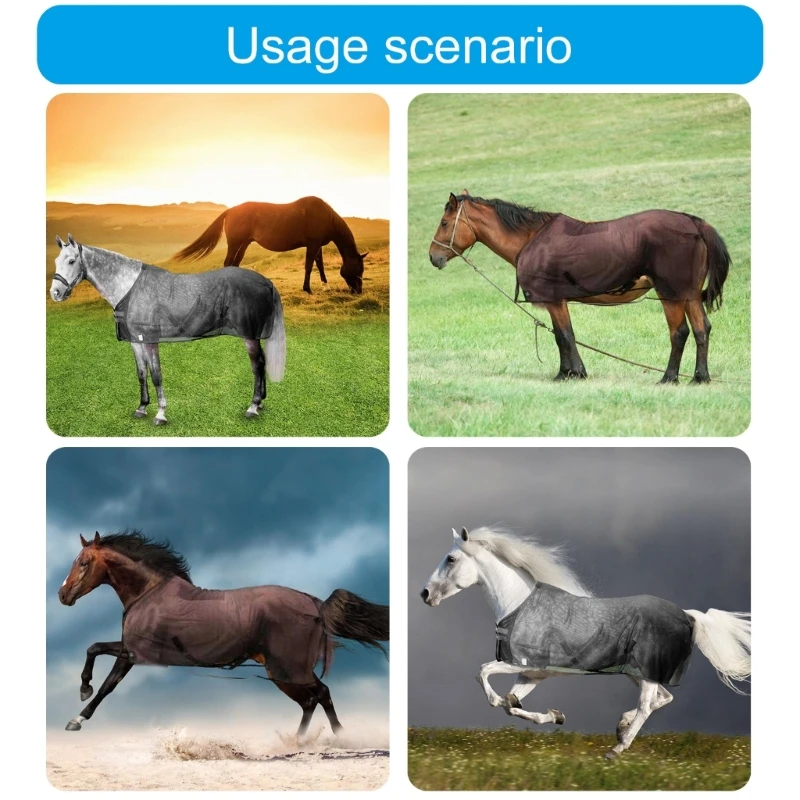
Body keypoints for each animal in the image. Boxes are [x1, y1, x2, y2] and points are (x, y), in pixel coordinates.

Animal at [50, 234, 286, 425]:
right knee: (262, 363)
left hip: (250, 336)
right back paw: (260, 403)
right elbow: (141, 374)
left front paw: (160, 414)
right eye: (56, 261)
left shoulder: (150, 340)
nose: (55, 293)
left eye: (71, 261)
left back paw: (253, 407)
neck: (130, 289)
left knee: (257, 366)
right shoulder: (136, 341)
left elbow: (156, 375)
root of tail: (266, 281)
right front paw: (142, 408)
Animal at [57, 531, 390, 738]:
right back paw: (296, 742)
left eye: (83, 562)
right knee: (309, 701)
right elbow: (93, 648)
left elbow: (106, 686)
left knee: (321, 694)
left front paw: (77, 717)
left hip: (289, 668)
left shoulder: (133, 654)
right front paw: (83, 688)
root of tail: (313, 602)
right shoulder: (128, 649)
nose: (63, 595)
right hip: (279, 672)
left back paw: (339, 739)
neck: (148, 593)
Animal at [173, 197, 369, 295]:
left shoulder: (317, 245)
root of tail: (231, 210)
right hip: (235, 243)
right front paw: (307, 289)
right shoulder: (312, 244)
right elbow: (308, 266)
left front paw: (325, 286)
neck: (324, 216)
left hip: (244, 244)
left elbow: (319, 264)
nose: (358, 291)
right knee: (228, 263)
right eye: (359, 269)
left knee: (235, 264)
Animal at [420, 526, 750, 760]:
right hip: (638, 674)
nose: (425, 594)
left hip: (645, 673)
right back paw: (621, 727)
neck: (520, 605)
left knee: (648, 705)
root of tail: (689, 615)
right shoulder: (532, 674)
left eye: (451, 559)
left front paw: (519, 704)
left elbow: (484, 676)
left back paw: (617, 748)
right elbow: (511, 706)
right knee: (662, 699)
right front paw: (554, 715)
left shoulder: (518, 663)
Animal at [429, 191, 731, 383]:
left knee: (679, 333)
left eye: (444, 223)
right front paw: (565, 372)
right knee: (702, 330)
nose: (434, 257)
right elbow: (561, 335)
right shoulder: (557, 302)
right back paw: (699, 378)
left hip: (671, 294)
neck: (531, 238)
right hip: (689, 295)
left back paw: (669, 378)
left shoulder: (554, 300)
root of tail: (693, 222)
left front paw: (573, 373)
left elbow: (564, 335)